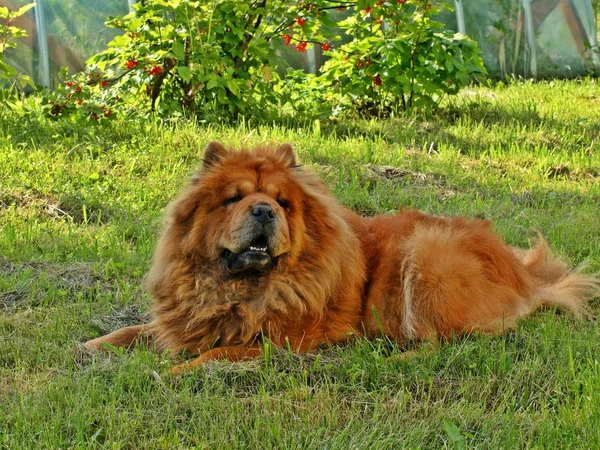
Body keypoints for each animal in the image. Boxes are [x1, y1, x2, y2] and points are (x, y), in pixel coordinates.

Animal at [84, 142, 600, 370]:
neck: (240, 289)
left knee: (446, 341)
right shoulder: (187, 316)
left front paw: (172, 372)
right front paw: (93, 346)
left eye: (283, 202)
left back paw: (387, 358)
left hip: (424, 257)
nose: (264, 210)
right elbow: (140, 330)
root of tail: (525, 275)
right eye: (234, 198)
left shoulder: (284, 338)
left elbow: (218, 351)